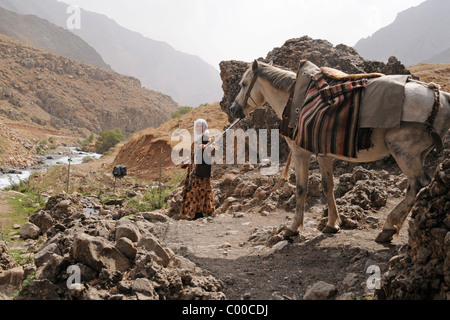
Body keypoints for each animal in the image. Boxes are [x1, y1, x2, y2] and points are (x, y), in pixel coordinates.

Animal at [232, 60, 450, 242]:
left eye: (243, 84)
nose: (234, 109)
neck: (295, 100)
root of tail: (440, 96)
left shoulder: (301, 153)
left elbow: (301, 188)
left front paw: (293, 227)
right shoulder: (323, 154)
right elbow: (328, 186)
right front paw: (332, 224)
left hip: (404, 152)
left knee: (419, 184)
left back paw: (389, 225)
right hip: (418, 154)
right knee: (414, 187)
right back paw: (391, 227)